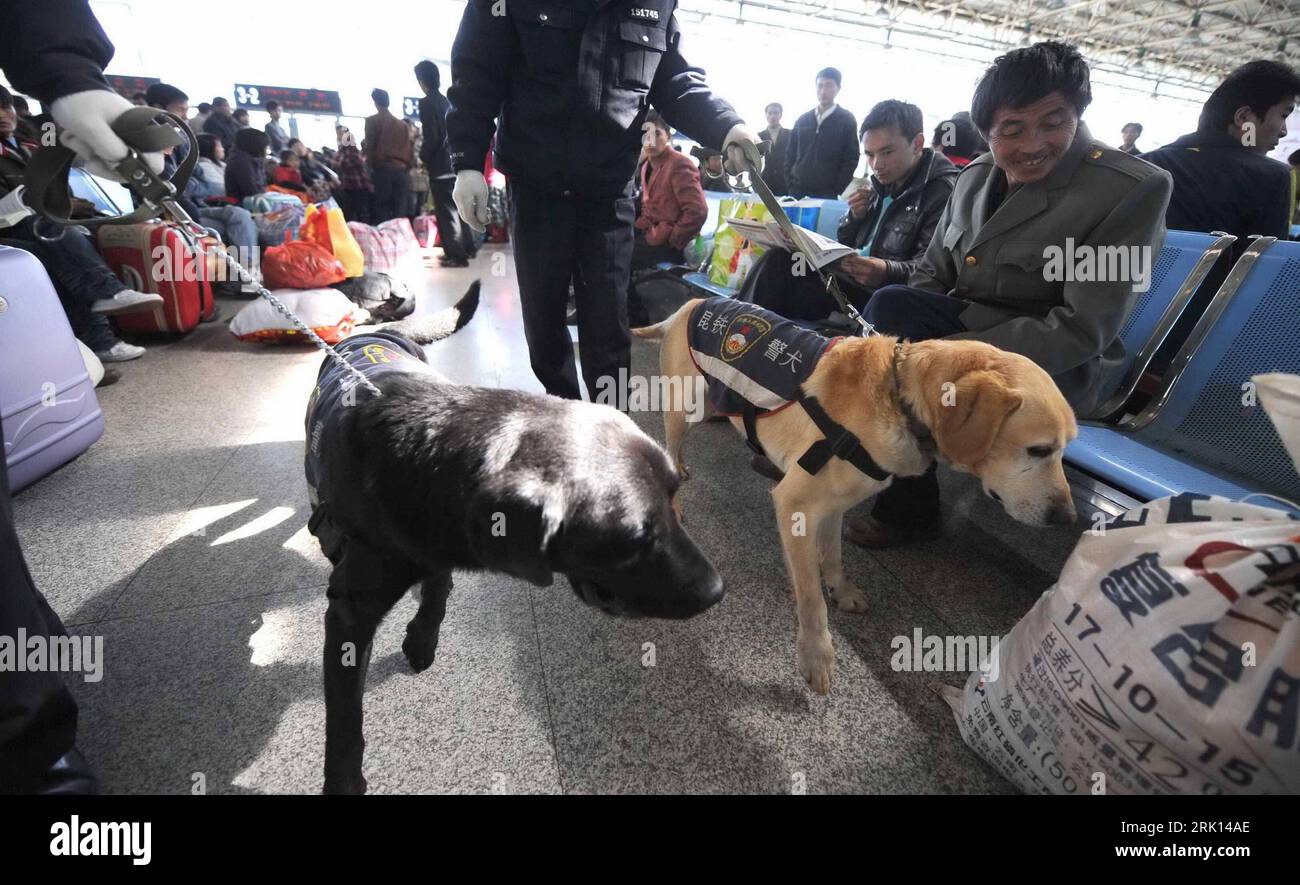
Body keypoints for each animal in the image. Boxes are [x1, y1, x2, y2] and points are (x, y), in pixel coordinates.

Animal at [309, 283, 728, 795]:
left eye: (675, 496)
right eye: (633, 537)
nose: (717, 590)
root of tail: (377, 331)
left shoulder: (439, 547)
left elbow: (438, 591)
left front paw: (423, 636)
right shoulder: (349, 616)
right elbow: (345, 719)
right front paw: (344, 780)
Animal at [637, 300, 1076, 691]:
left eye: (1065, 447)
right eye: (1039, 450)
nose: (1068, 518)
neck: (899, 401)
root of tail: (691, 303)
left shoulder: (835, 505)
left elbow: (833, 556)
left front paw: (843, 590)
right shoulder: (794, 505)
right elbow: (811, 597)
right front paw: (817, 656)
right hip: (684, 406)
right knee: (670, 448)